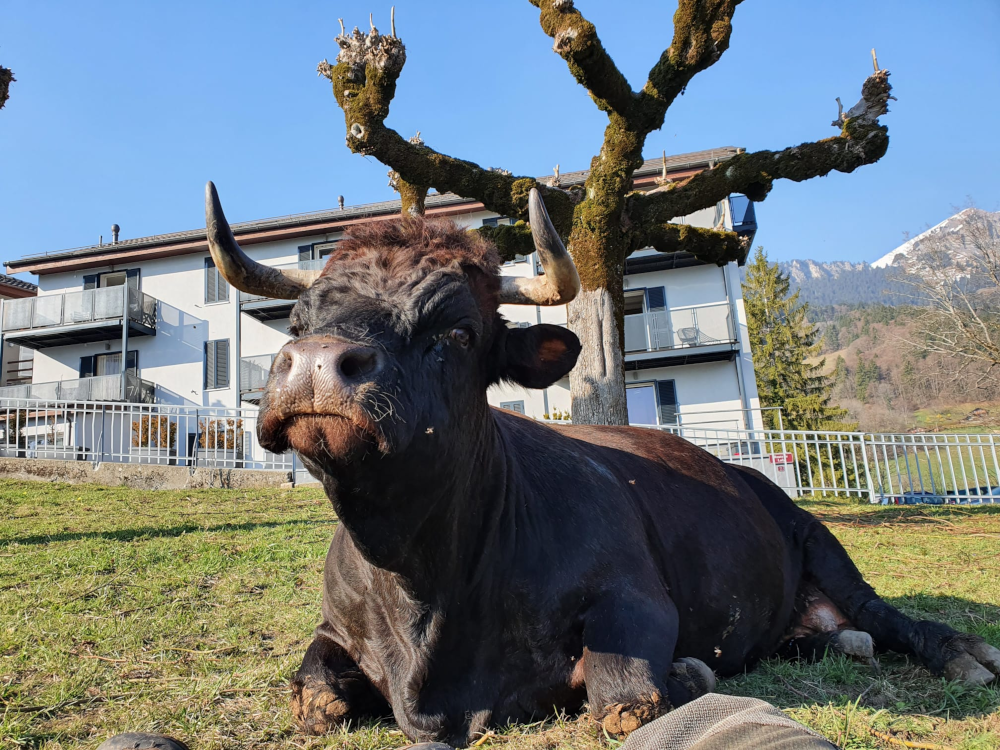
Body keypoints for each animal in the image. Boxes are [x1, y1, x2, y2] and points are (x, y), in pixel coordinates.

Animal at [205, 183, 1000, 748]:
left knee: (883, 614)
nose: (314, 362)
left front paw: (684, 672)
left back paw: (962, 651)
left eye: (459, 330)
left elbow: (626, 702)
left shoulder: (634, 596)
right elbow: (315, 697)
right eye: (300, 321)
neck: (419, 578)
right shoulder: (335, 633)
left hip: (821, 542)